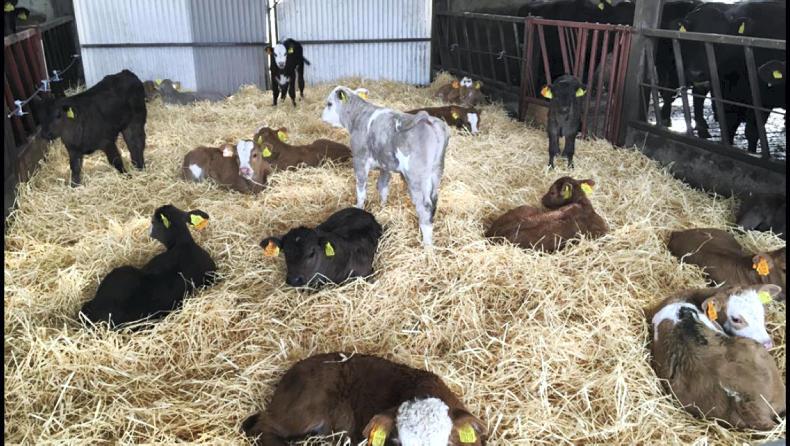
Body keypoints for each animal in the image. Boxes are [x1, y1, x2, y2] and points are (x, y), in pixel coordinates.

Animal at [322, 86, 450, 247]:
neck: (358, 117)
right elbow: (382, 186)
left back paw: (427, 245)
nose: (322, 116)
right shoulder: (385, 165)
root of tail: (430, 120)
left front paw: (358, 207)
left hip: (416, 178)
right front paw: (383, 207)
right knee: (433, 202)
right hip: (436, 172)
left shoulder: (359, 159)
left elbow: (361, 188)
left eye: (329, 104)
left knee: (424, 207)